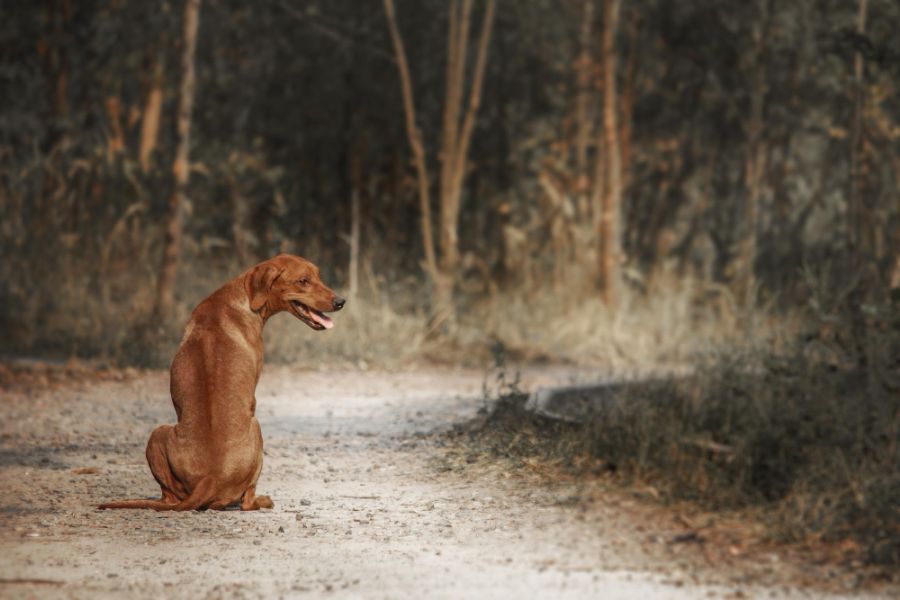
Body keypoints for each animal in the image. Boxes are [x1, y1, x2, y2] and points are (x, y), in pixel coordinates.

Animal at [97, 253, 344, 510]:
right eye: (303, 281)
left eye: (318, 276)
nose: (340, 301)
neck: (243, 296)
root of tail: (210, 479)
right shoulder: (253, 399)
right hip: (254, 427)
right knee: (247, 502)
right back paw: (263, 500)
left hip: (157, 436)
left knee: (170, 497)